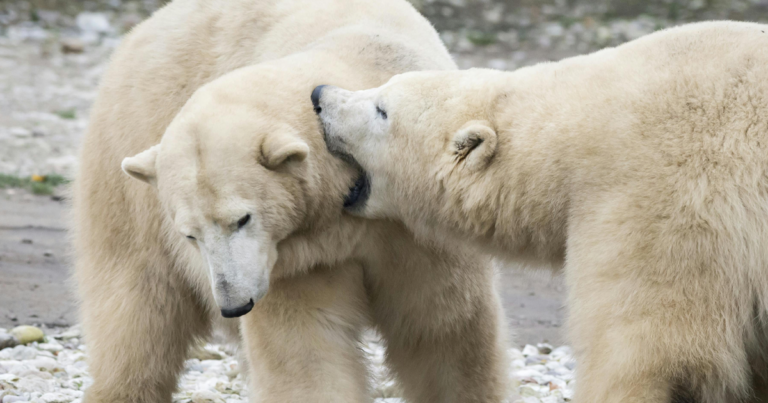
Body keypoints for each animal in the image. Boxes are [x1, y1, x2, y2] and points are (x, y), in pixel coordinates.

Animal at [72, 0, 509, 402]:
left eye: (242, 219)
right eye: (190, 235)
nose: (234, 305)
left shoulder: (415, 225)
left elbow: (441, 328)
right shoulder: (299, 257)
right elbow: (306, 345)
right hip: (125, 166)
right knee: (137, 306)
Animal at [315, 21, 768, 403]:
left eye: (382, 110)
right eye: (383, 86)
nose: (319, 96)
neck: (574, 132)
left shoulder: (666, 196)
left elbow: (646, 347)